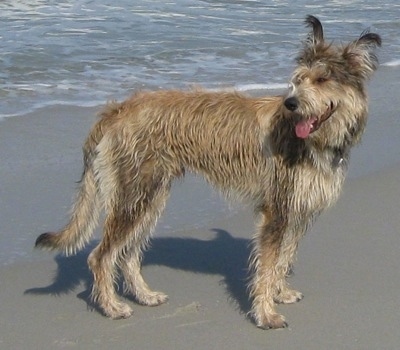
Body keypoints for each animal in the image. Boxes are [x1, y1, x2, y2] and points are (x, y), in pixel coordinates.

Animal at [35, 15, 382, 328]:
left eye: (322, 80)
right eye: (297, 79)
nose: (291, 103)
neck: (315, 141)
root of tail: (116, 110)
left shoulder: (297, 211)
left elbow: (283, 259)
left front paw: (280, 293)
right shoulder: (277, 211)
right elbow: (268, 266)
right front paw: (266, 314)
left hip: (150, 198)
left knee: (129, 254)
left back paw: (145, 296)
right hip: (133, 197)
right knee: (102, 256)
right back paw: (112, 307)